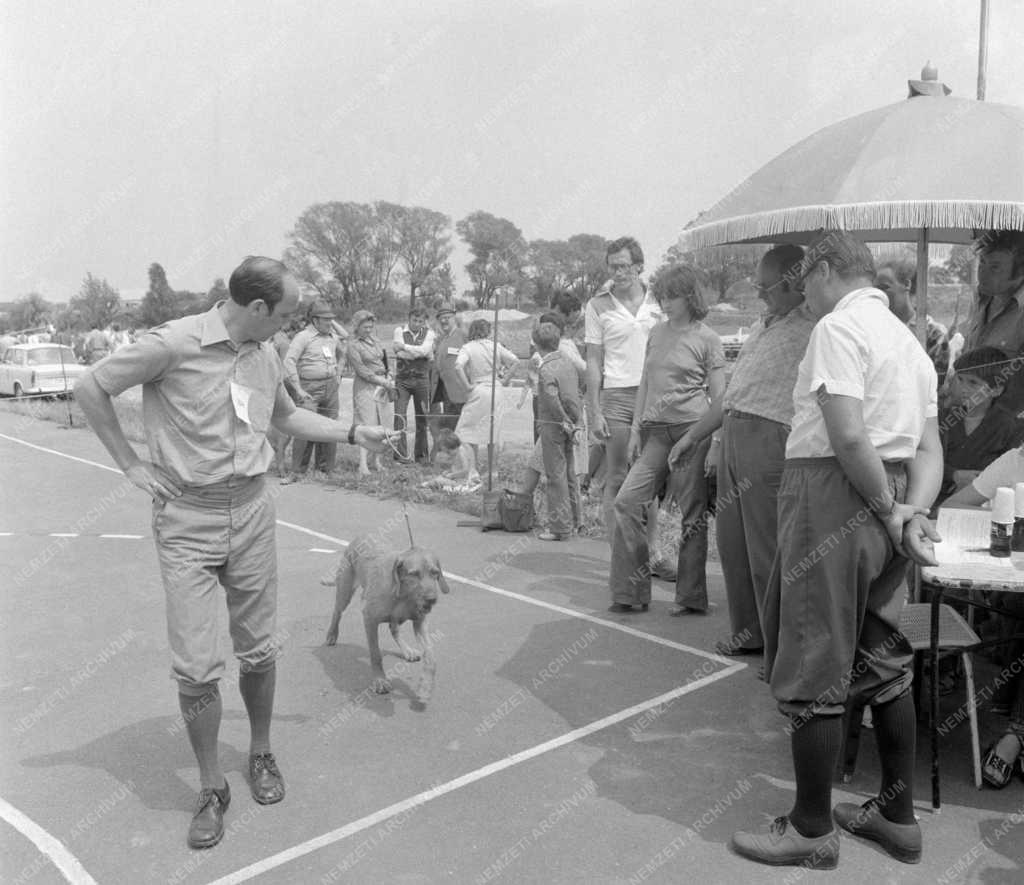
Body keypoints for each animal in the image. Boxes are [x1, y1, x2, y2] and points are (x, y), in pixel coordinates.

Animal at [319, 532, 448, 696]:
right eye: (414, 574)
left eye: (435, 572)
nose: (431, 599)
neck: (403, 595)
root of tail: (361, 536)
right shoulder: (369, 619)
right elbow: (375, 654)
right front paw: (380, 680)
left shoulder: (420, 622)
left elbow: (431, 657)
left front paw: (426, 686)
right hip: (344, 593)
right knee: (337, 612)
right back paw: (332, 634)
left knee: (394, 630)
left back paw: (407, 650)